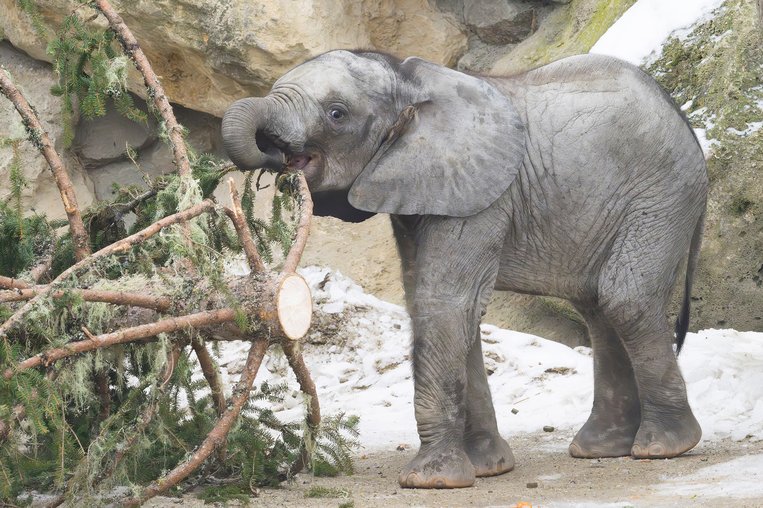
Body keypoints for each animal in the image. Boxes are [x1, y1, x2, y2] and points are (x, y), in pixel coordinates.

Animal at [222, 50, 708, 489]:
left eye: (336, 114)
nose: (273, 159)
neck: (411, 83)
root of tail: (686, 123)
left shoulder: (481, 197)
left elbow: (444, 303)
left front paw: (431, 480)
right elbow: (442, 307)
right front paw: (488, 467)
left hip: (661, 197)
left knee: (624, 298)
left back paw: (664, 447)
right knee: (597, 307)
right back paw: (601, 448)